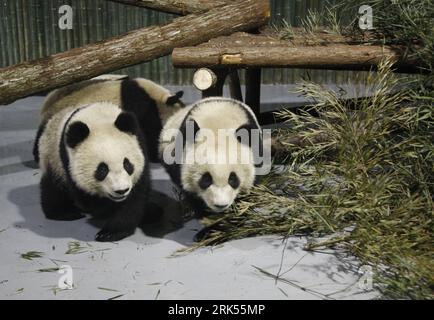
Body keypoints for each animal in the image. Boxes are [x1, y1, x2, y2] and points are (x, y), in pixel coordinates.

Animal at [39, 101, 151, 241]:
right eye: (102, 169)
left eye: (127, 164)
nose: (121, 191)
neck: (98, 118)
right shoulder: (68, 161)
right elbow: (86, 197)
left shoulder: (140, 146)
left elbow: (134, 198)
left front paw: (112, 232)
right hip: (52, 156)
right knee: (53, 187)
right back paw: (64, 213)